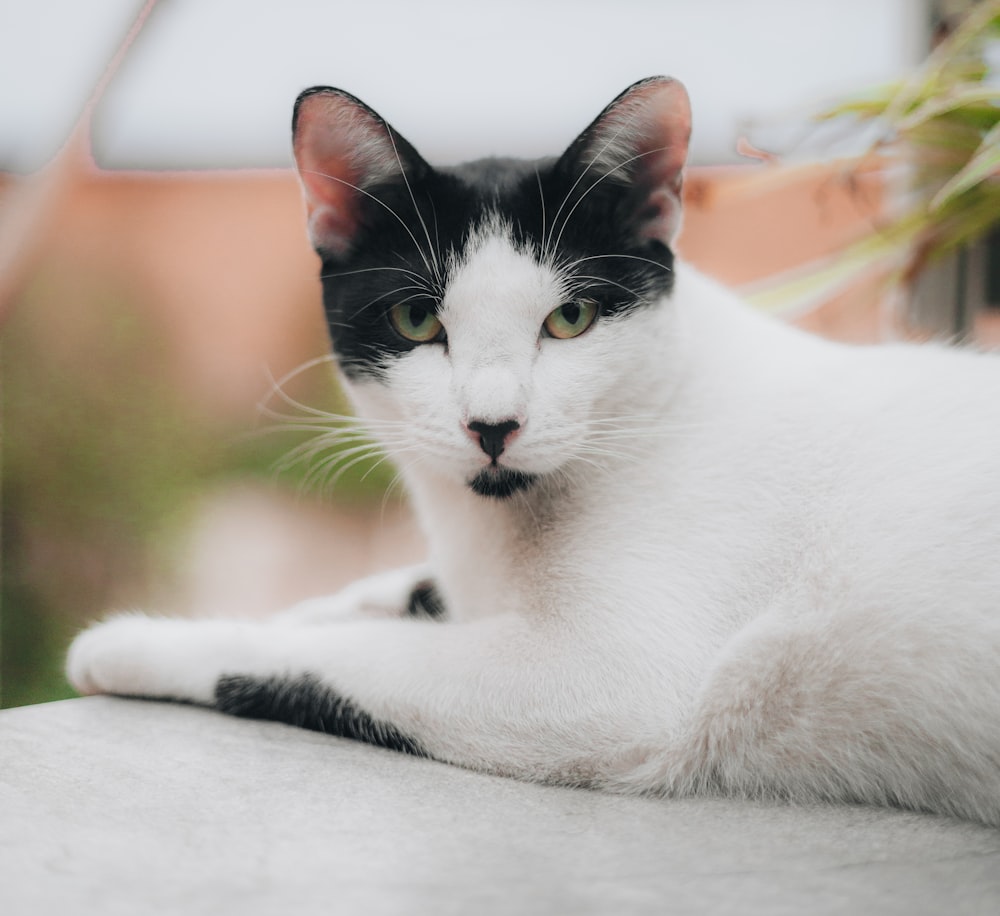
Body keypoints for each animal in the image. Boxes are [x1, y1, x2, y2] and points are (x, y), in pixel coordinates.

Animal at [68, 77, 1000, 824]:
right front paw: (323, 606)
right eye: (417, 320)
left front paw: (135, 645)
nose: (493, 424)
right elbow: (385, 599)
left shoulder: (602, 681)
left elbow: (338, 657)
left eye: (571, 318)